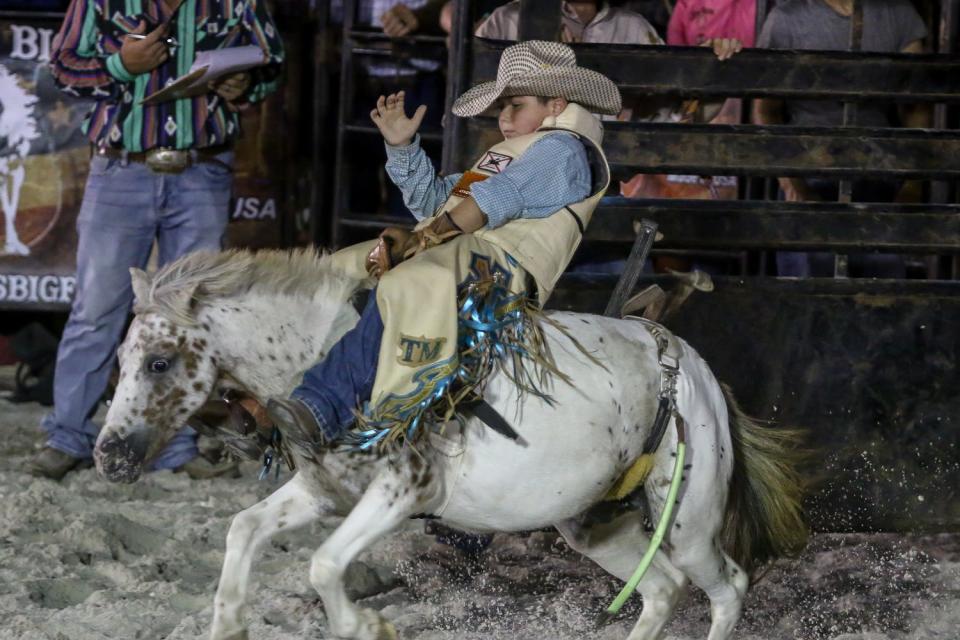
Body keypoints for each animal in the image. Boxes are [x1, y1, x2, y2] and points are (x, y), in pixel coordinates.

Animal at [94, 249, 808, 640]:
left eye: (159, 362)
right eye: (122, 358)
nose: (108, 455)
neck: (334, 358)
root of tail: (689, 363)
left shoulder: (402, 490)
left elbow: (322, 566)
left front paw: (369, 624)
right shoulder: (324, 491)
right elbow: (243, 530)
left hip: (688, 518)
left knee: (728, 586)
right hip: (594, 523)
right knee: (661, 590)